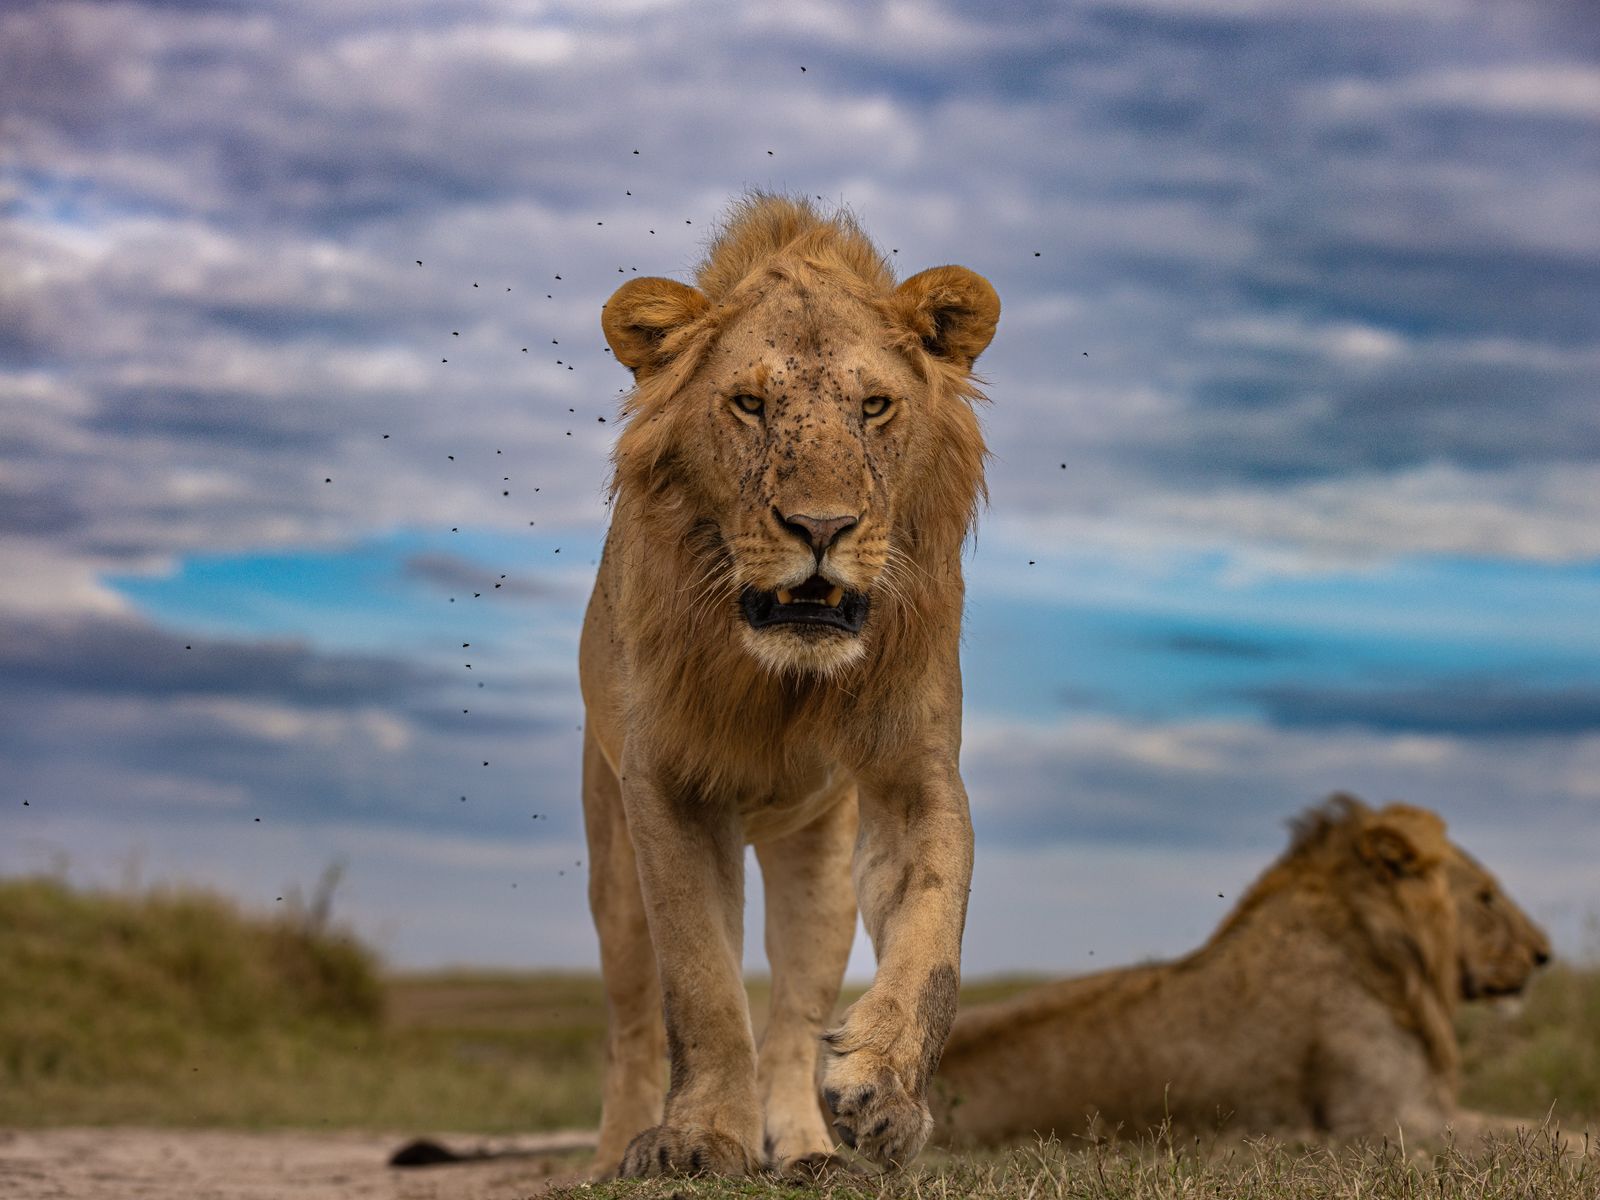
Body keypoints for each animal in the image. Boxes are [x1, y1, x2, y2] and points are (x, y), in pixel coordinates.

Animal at [578, 194, 1000, 1177]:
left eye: (875, 406)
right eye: (750, 403)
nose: (821, 526)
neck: (784, 685)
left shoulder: (915, 775)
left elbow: (936, 933)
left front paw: (884, 1092)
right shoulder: (666, 788)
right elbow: (699, 985)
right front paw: (698, 1139)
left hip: (819, 866)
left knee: (793, 1022)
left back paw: (809, 1149)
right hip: (610, 857)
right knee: (632, 1025)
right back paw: (616, 1151)